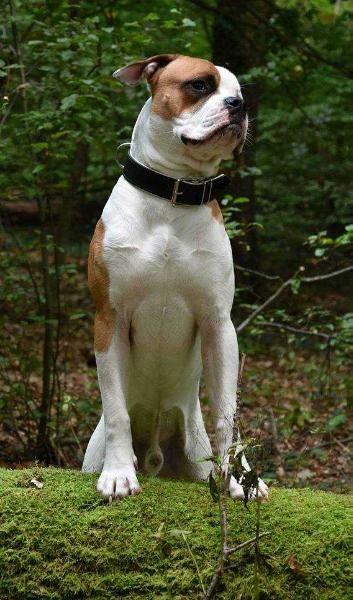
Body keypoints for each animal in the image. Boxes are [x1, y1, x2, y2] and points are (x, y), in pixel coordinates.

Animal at [82, 55, 268, 502]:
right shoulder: (108, 320)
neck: (172, 195)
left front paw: (238, 478)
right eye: (200, 85)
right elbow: (116, 409)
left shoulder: (219, 325)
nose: (239, 106)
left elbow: (227, 413)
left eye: (240, 91)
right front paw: (118, 473)